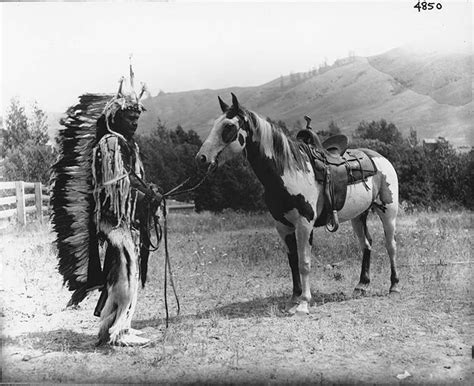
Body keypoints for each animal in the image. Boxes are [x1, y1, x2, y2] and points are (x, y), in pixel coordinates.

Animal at [196, 94, 400, 316]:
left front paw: (303, 303)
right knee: (366, 244)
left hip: (388, 212)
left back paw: (394, 285)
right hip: (358, 216)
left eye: (228, 127)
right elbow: (293, 262)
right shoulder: (283, 226)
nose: (201, 158)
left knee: (391, 245)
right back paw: (362, 285)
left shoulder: (304, 224)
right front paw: (293, 298)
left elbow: (304, 262)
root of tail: (380, 158)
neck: (290, 171)